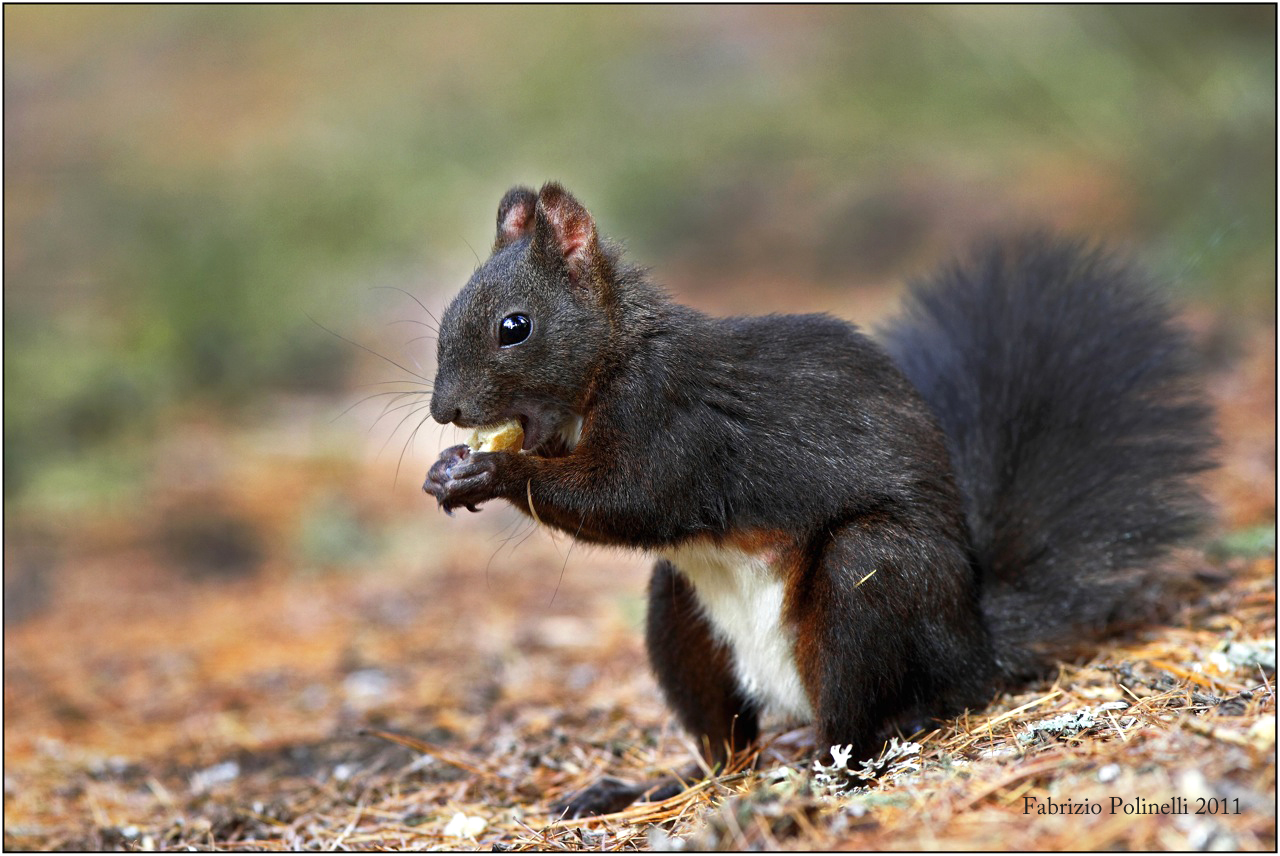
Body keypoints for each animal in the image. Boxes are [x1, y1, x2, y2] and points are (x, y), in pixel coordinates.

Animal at [424, 181, 1213, 813]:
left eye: (514, 327)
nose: (443, 410)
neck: (616, 356)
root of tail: (975, 647)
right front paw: (446, 470)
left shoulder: (674, 418)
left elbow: (633, 499)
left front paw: (493, 473)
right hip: (681, 618)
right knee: (726, 750)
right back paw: (652, 788)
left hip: (870, 580)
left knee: (861, 723)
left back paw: (827, 768)